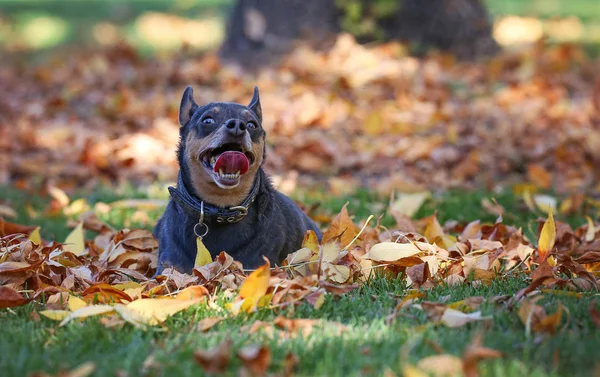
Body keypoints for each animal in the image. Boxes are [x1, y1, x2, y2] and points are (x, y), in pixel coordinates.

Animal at [155, 85, 324, 274]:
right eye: (207, 120)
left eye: (252, 124)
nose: (237, 125)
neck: (220, 207)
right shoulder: (168, 267)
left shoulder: (253, 267)